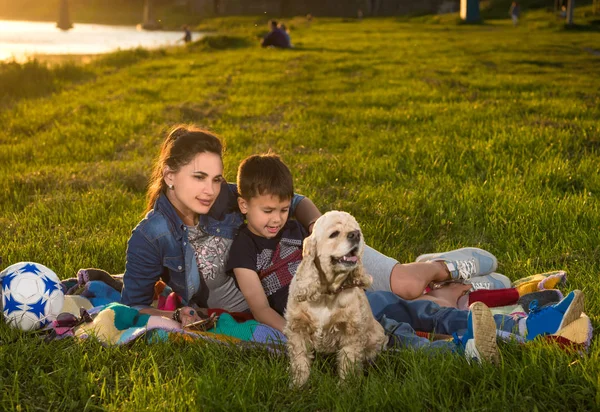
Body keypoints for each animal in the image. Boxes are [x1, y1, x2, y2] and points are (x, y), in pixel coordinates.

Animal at [284, 211, 386, 388]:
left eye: (357, 231)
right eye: (334, 234)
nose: (356, 235)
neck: (327, 294)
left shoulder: (351, 332)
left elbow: (348, 361)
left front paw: (346, 387)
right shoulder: (297, 328)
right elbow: (300, 360)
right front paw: (298, 385)